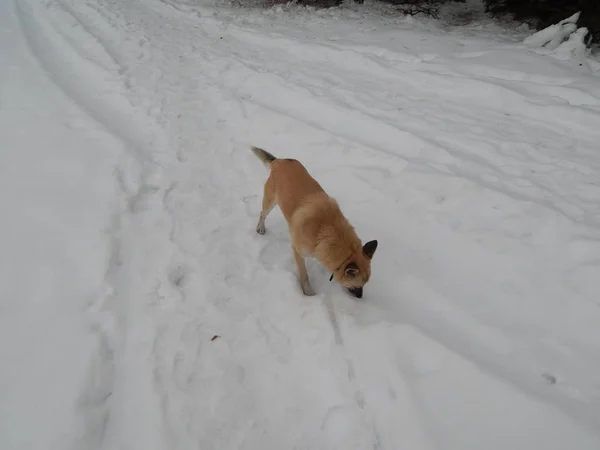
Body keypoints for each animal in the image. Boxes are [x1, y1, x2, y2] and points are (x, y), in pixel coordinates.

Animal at [251, 146, 378, 298]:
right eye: (358, 285)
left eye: (364, 284)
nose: (360, 297)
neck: (327, 230)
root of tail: (279, 161)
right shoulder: (298, 251)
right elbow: (304, 275)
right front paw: (308, 291)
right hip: (270, 202)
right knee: (262, 214)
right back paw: (261, 227)